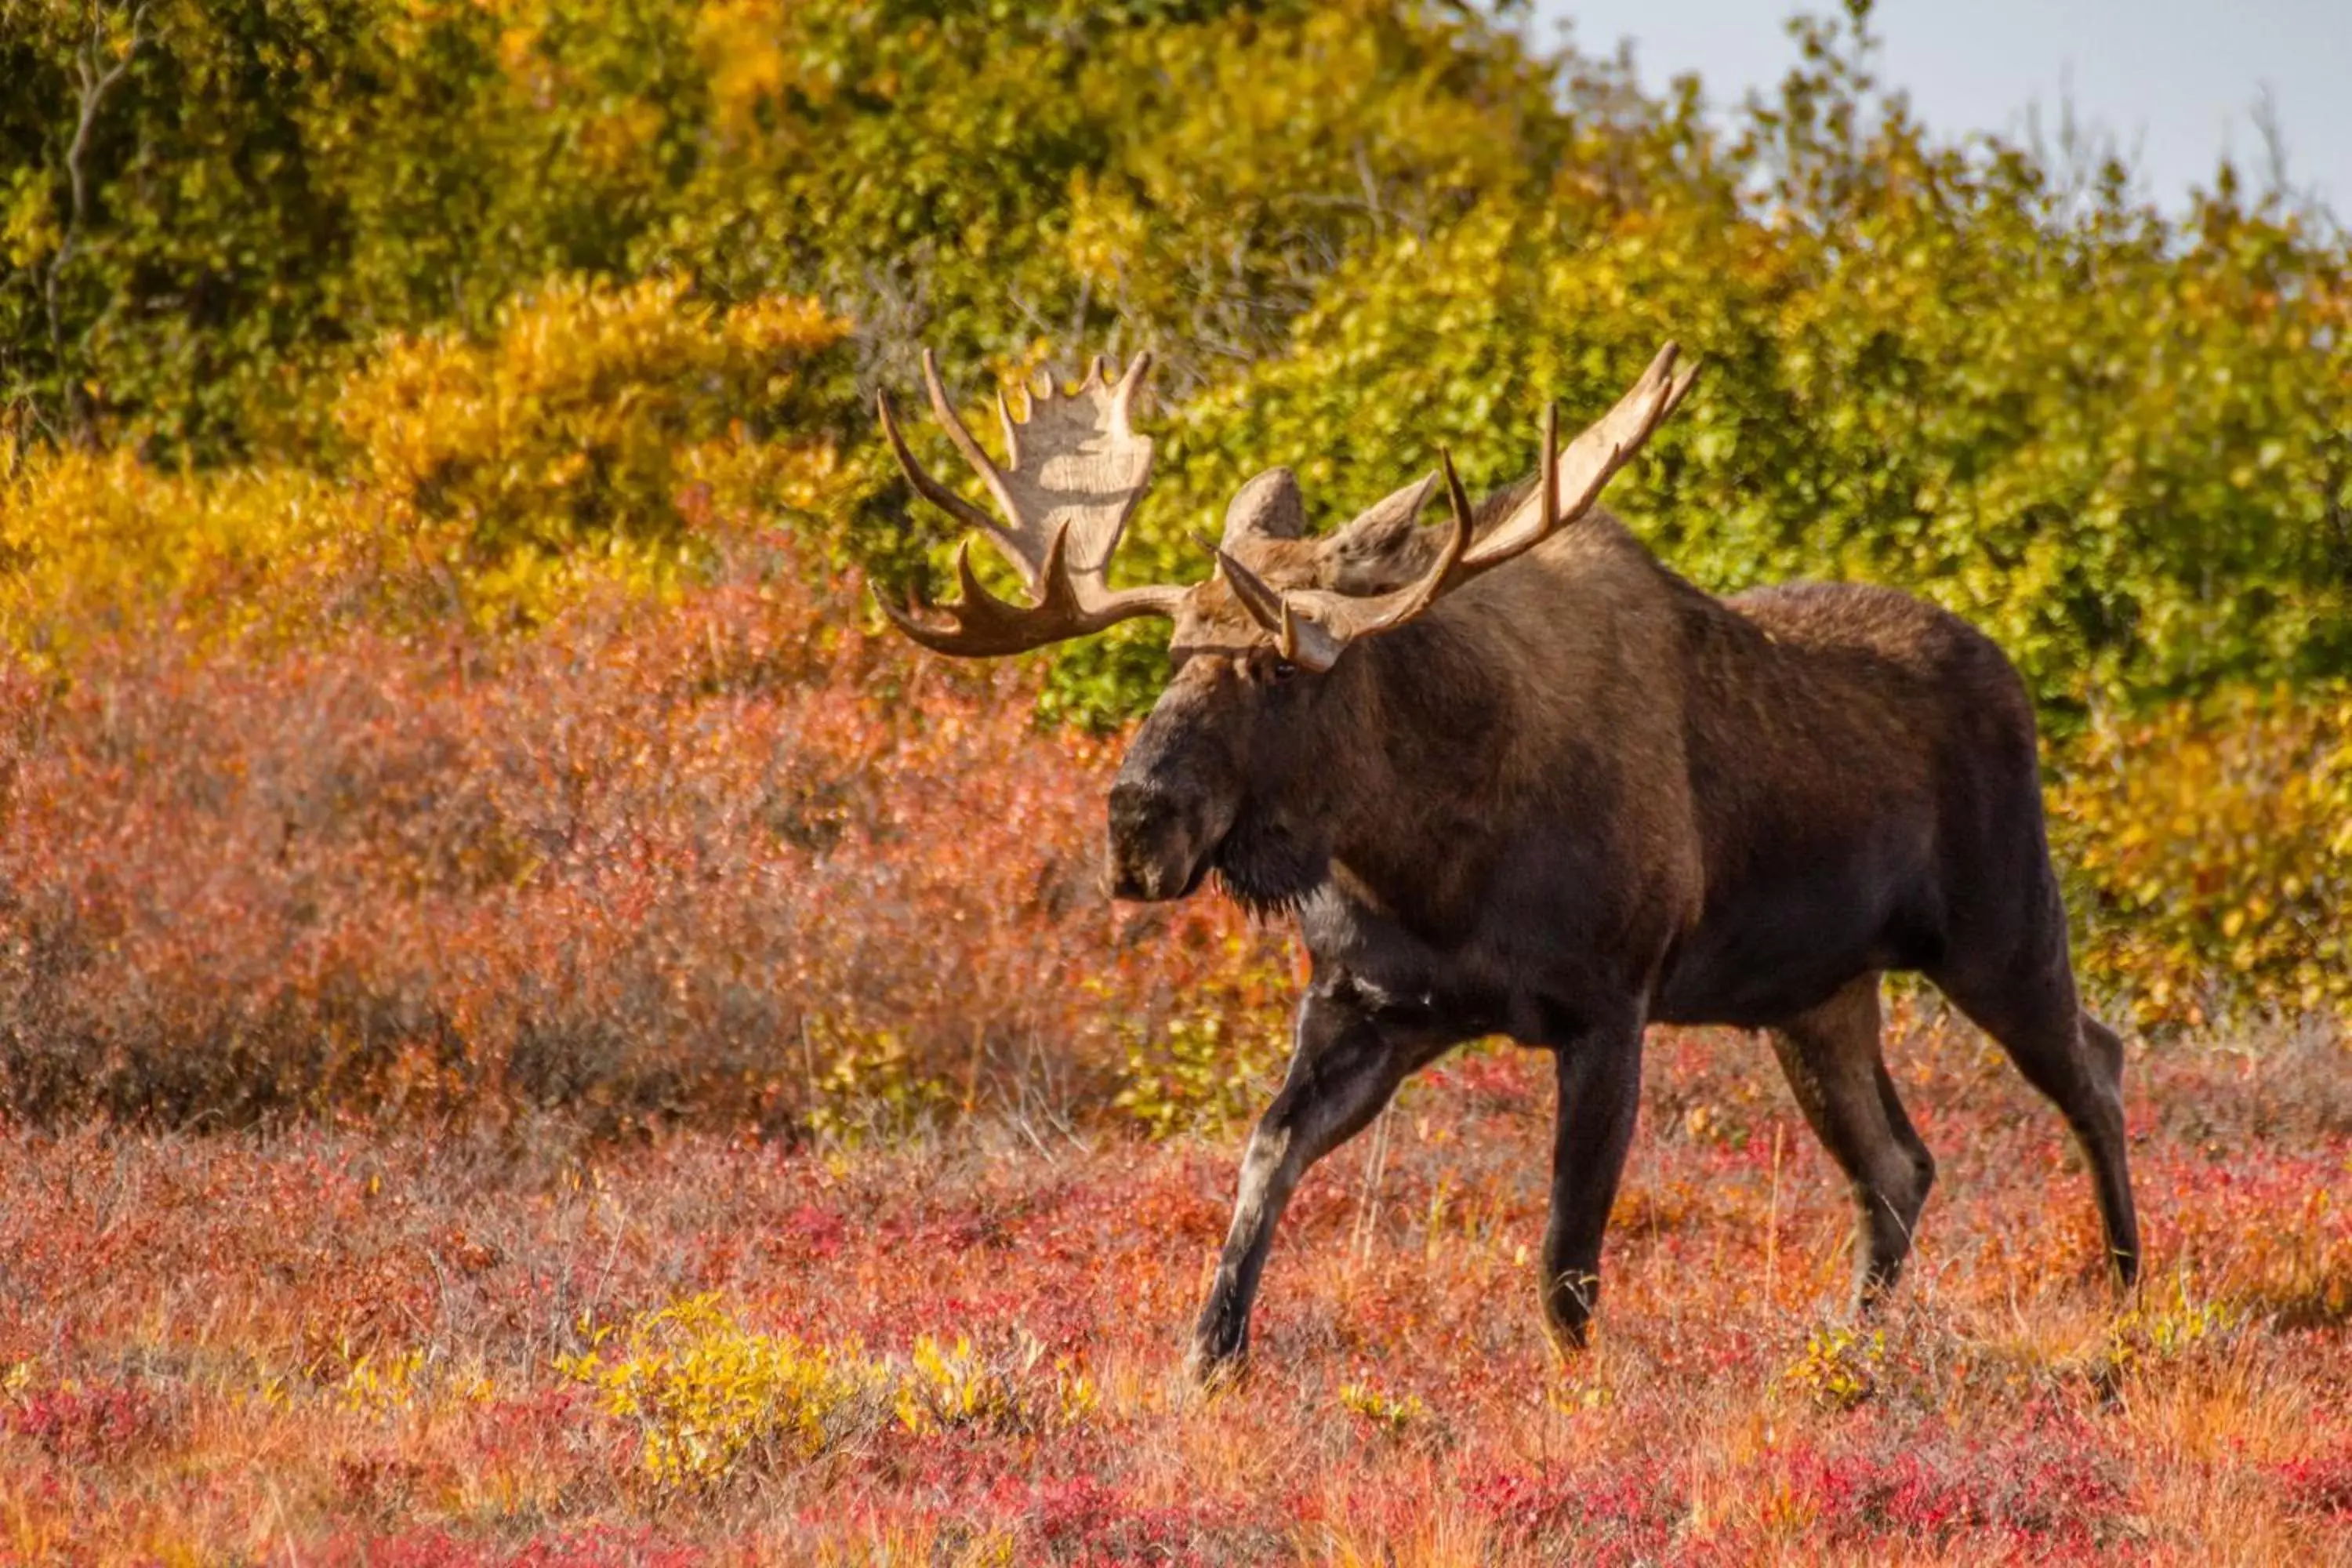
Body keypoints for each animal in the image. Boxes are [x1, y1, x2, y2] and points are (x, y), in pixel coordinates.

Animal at [875, 350, 2145, 1382]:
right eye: (1175, 655)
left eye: (1281, 668)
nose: (1138, 818)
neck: (1426, 855)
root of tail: (2013, 678)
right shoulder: (1371, 1006)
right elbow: (1264, 1159)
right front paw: (1210, 1355)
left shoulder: (1610, 1006)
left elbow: (1565, 1259)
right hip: (1818, 996)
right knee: (1898, 1162)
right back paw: (1852, 1343)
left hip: (2000, 930)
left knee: (2095, 1065)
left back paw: (2128, 1302)